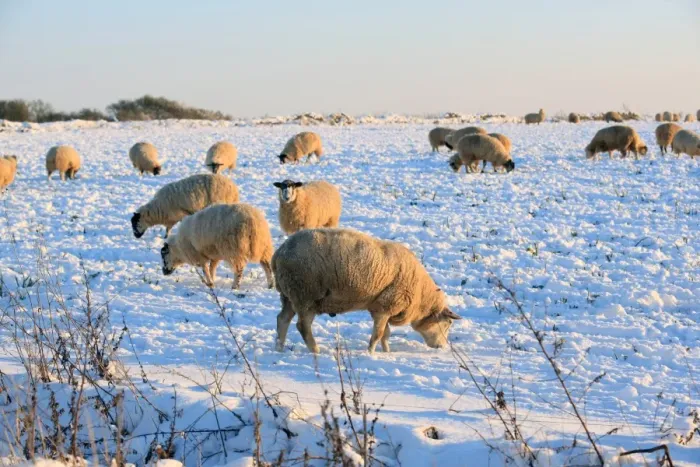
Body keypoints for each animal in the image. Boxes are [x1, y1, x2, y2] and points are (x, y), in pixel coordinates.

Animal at [272, 228, 462, 354]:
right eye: (448, 323)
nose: (442, 347)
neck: (420, 298)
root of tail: (279, 254)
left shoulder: (382, 307)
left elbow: (386, 333)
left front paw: (386, 352)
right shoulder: (385, 306)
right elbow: (379, 334)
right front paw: (371, 352)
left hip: (289, 294)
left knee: (282, 319)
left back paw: (279, 348)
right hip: (305, 294)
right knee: (302, 326)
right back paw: (315, 350)